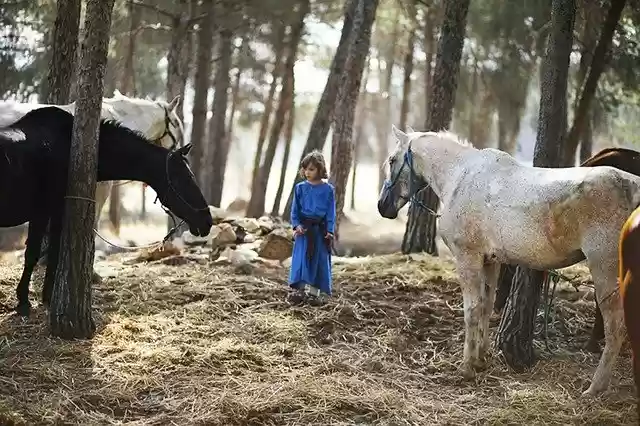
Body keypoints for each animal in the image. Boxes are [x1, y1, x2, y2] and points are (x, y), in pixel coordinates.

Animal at [377, 125, 640, 396]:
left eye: (392, 160)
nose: (383, 206)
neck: (461, 176)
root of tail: (634, 187)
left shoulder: (468, 258)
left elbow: (472, 310)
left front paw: (466, 368)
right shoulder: (490, 261)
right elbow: (486, 305)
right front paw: (480, 360)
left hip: (604, 270)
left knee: (615, 325)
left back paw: (595, 388)